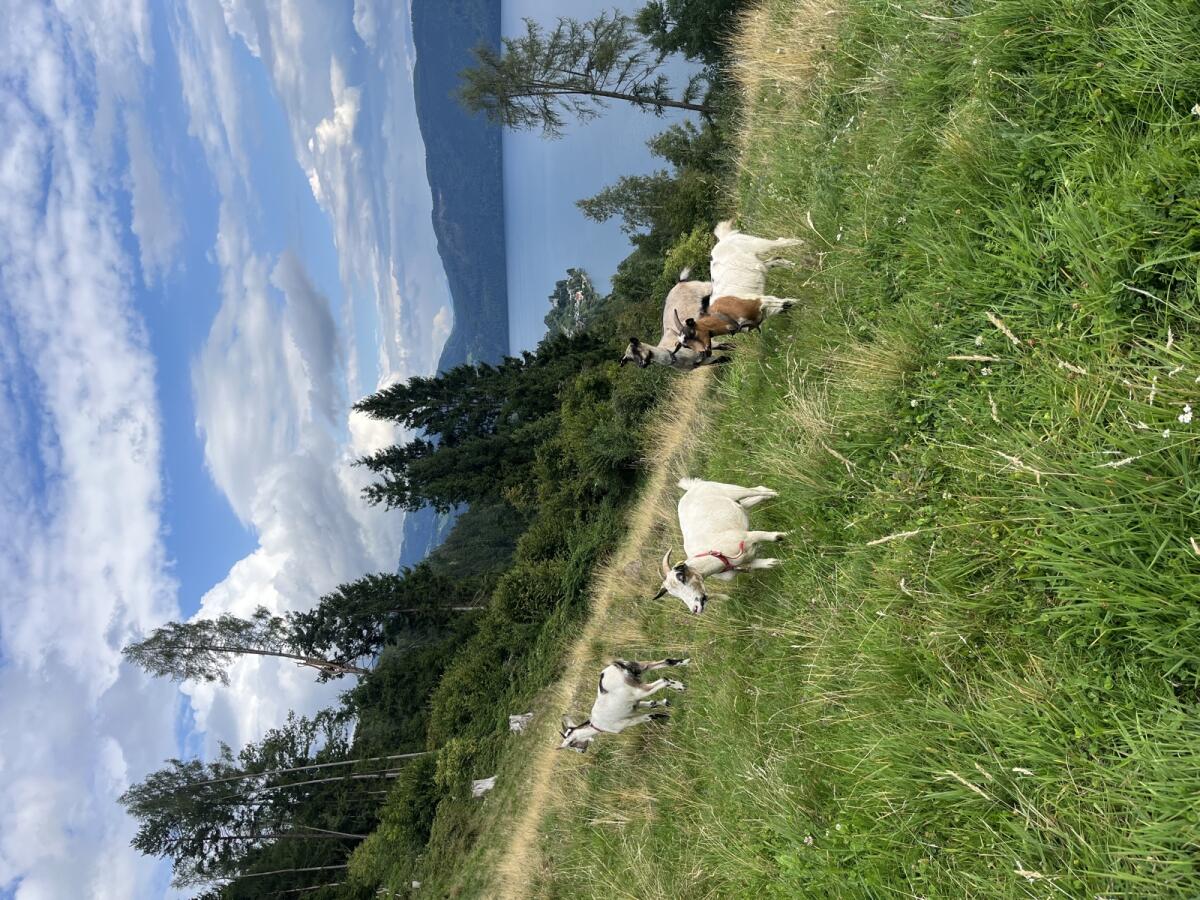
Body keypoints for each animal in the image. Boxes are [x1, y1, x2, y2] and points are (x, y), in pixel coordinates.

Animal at [558, 657, 689, 752]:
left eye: (571, 744)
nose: (581, 751)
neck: (596, 725)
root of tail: (616, 666)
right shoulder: (635, 705)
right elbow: (651, 704)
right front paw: (666, 703)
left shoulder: (627, 722)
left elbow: (650, 716)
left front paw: (666, 716)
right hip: (639, 666)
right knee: (667, 661)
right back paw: (686, 662)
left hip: (639, 691)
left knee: (663, 680)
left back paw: (680, 686)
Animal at [653, 478, 786, 614]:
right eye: (673, 594)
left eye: (681, 577)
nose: (695, 608)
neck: (715, 556)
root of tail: (691, 487)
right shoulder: (741, 564)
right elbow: (765, 564)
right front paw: (781, 562)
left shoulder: (748, 536)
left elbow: (774, 537)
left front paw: (788, 534)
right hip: (740, 505)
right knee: (754, 498)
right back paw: (773, 496)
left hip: (732, 490)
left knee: (758, 489)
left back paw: (777, 493)